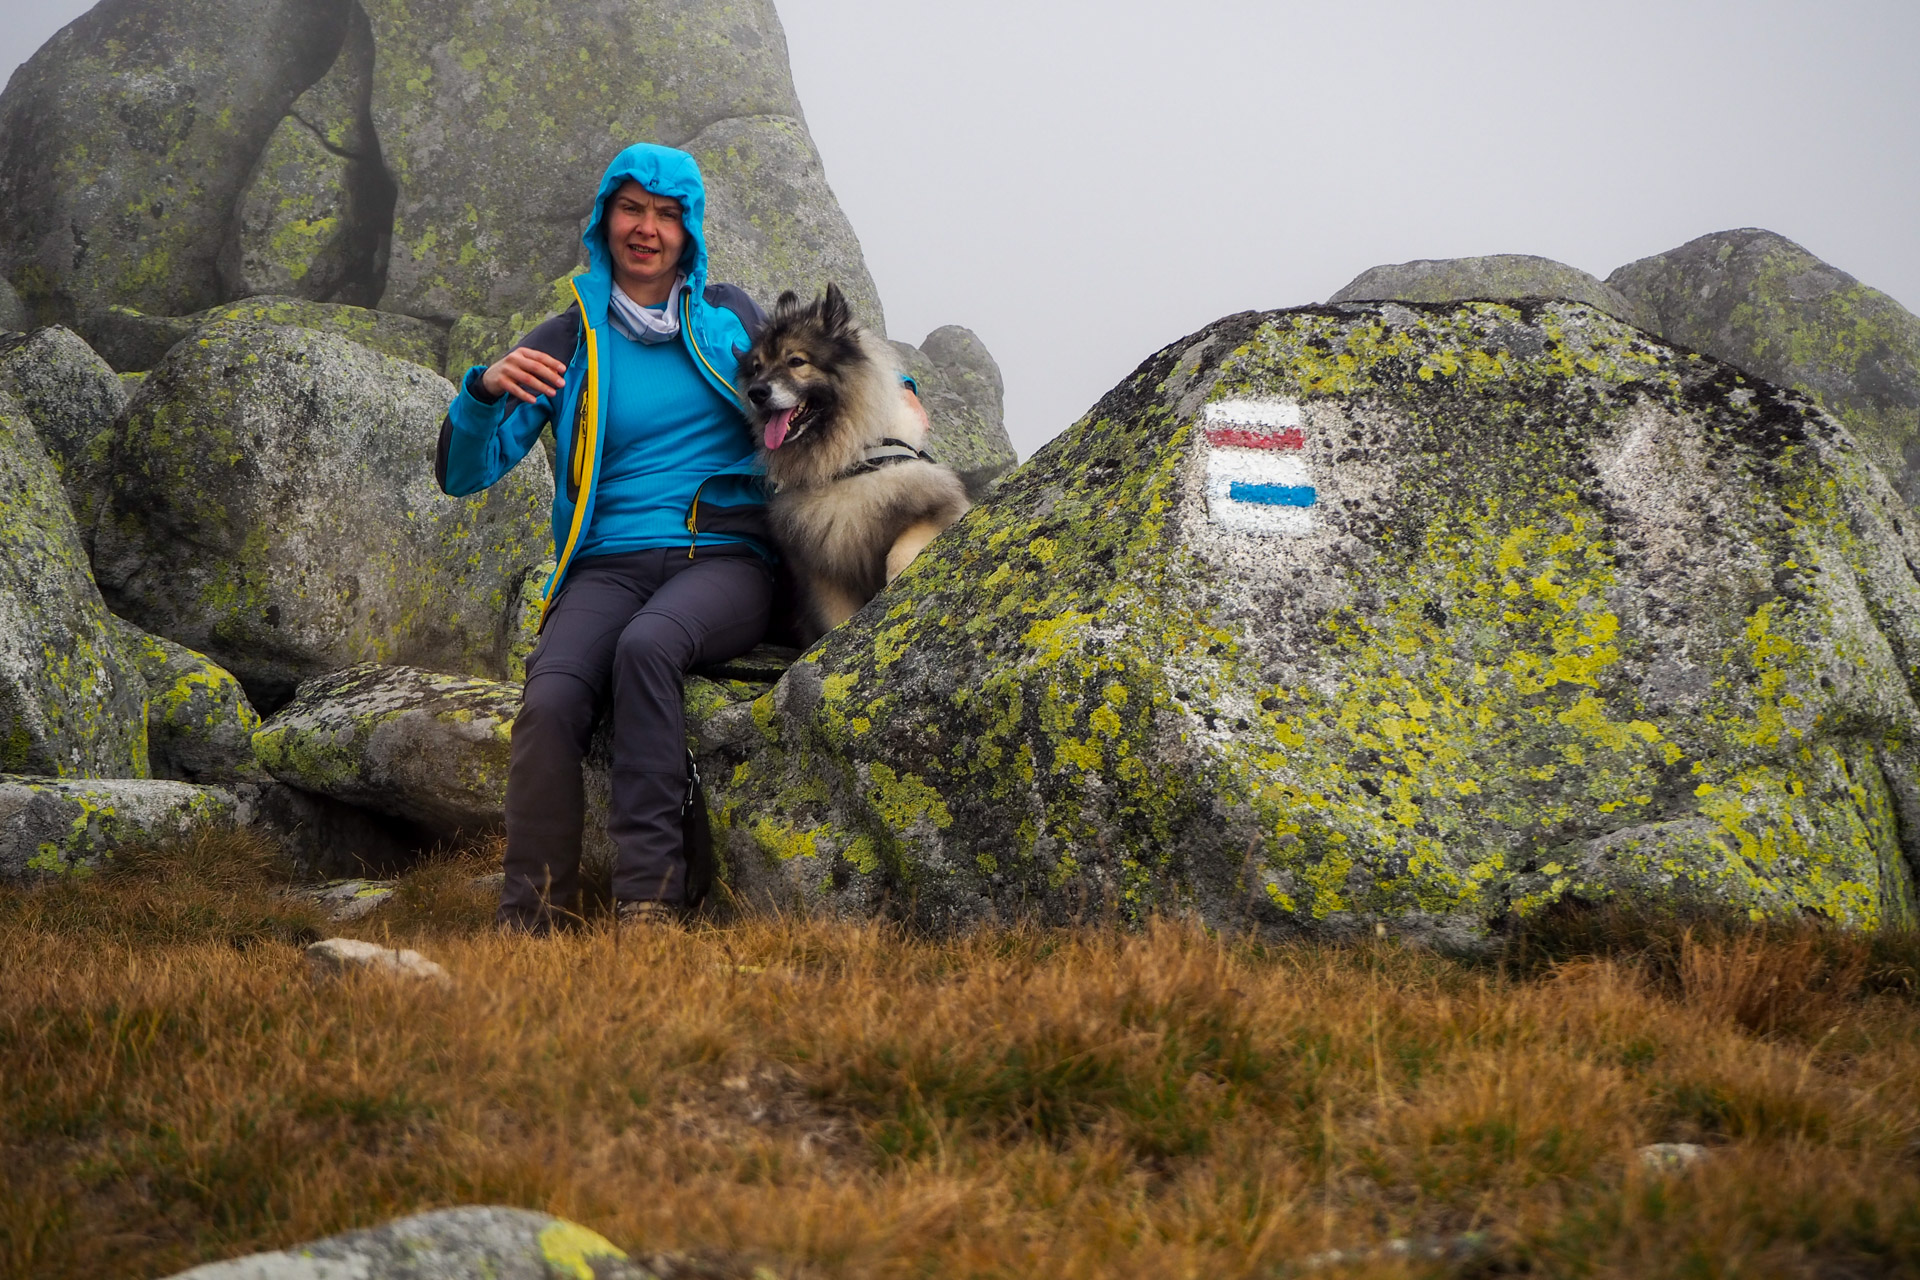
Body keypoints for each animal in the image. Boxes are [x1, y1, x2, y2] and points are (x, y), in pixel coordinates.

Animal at [737, 280, 967, 640]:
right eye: (757, 367)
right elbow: (836, 619)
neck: (846, 464)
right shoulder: (821, 569)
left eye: (796, 361)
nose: (756, 393)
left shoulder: (937, 506)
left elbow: (901, 552)